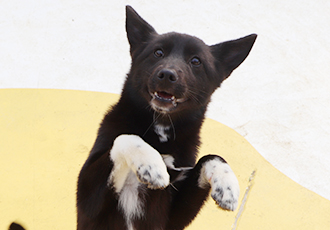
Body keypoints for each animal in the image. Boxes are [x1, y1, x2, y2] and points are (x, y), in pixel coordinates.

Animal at [76, 5, 255, 230]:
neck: (160, 128)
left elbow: (211, 156)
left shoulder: (171, 218)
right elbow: (125, 138)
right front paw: (151, 165)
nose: (167, 75)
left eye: (196, 61)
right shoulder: (87, 198)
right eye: (158, 52)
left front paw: (227, 186)